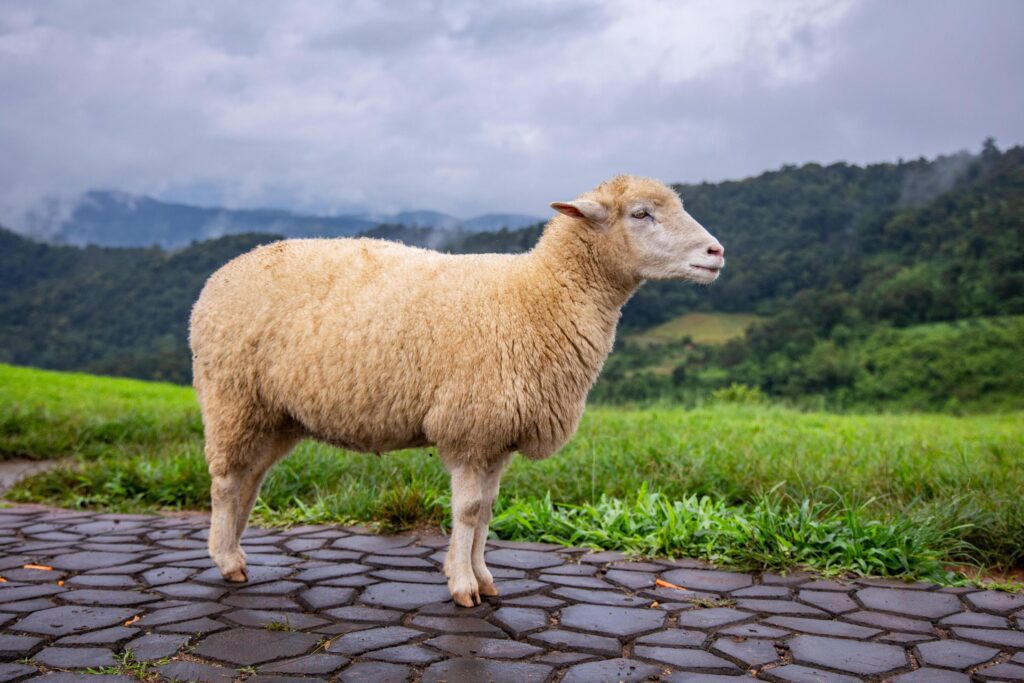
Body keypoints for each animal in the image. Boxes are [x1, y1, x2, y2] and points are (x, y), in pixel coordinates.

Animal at [188, 174, 724, 606]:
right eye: (641, 213)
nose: (716, 253)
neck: (539, 296)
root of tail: (221, 275)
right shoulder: (470, 428)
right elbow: (467, 511)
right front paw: (463, 586)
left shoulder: (499, 435)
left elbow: (487, 511)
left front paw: (483, 577)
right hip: (232, 396)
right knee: (226, 480)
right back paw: (226, 560)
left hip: (276, 414)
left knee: (251, 477)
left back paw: (233, 549)